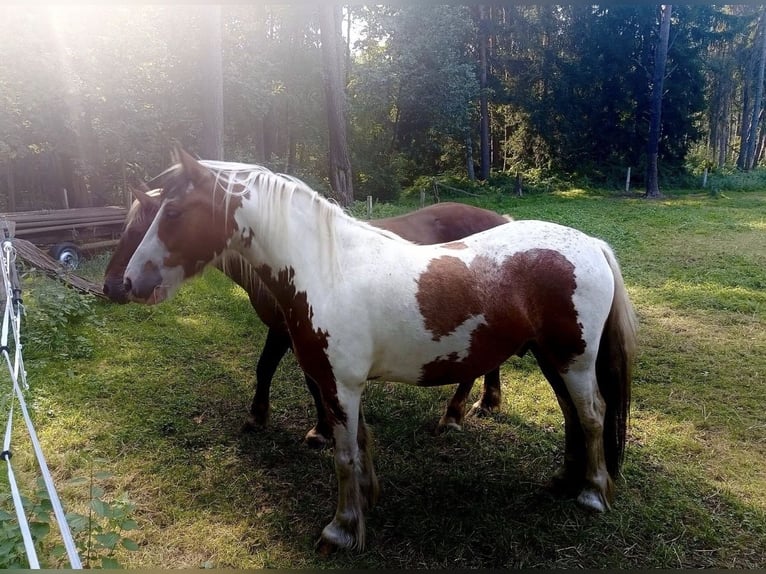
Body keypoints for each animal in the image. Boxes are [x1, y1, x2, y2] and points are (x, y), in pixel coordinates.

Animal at [104, 185, 511, 446]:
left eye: (141, 229)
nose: (113, 286)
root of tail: (500, 220)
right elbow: (279, 373)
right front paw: (273, 419)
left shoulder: (290, 332)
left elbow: (288, 374)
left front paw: (314, 429)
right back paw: (486, 402)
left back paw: (453, 416)